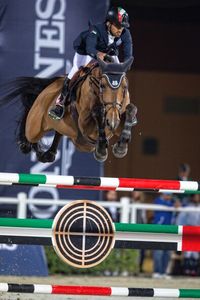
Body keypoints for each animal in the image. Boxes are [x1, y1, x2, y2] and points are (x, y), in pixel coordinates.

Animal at [0, 57, 138, 163]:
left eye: (124, 87)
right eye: (102, 86)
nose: (112, 121)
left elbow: (131, 109)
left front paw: (121, 147)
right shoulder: (86, 128)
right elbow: (98, 111)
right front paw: (101, 151)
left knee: (57, 133)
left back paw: (48, 154)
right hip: (34, 128)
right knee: (30, 133)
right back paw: (28, 147)